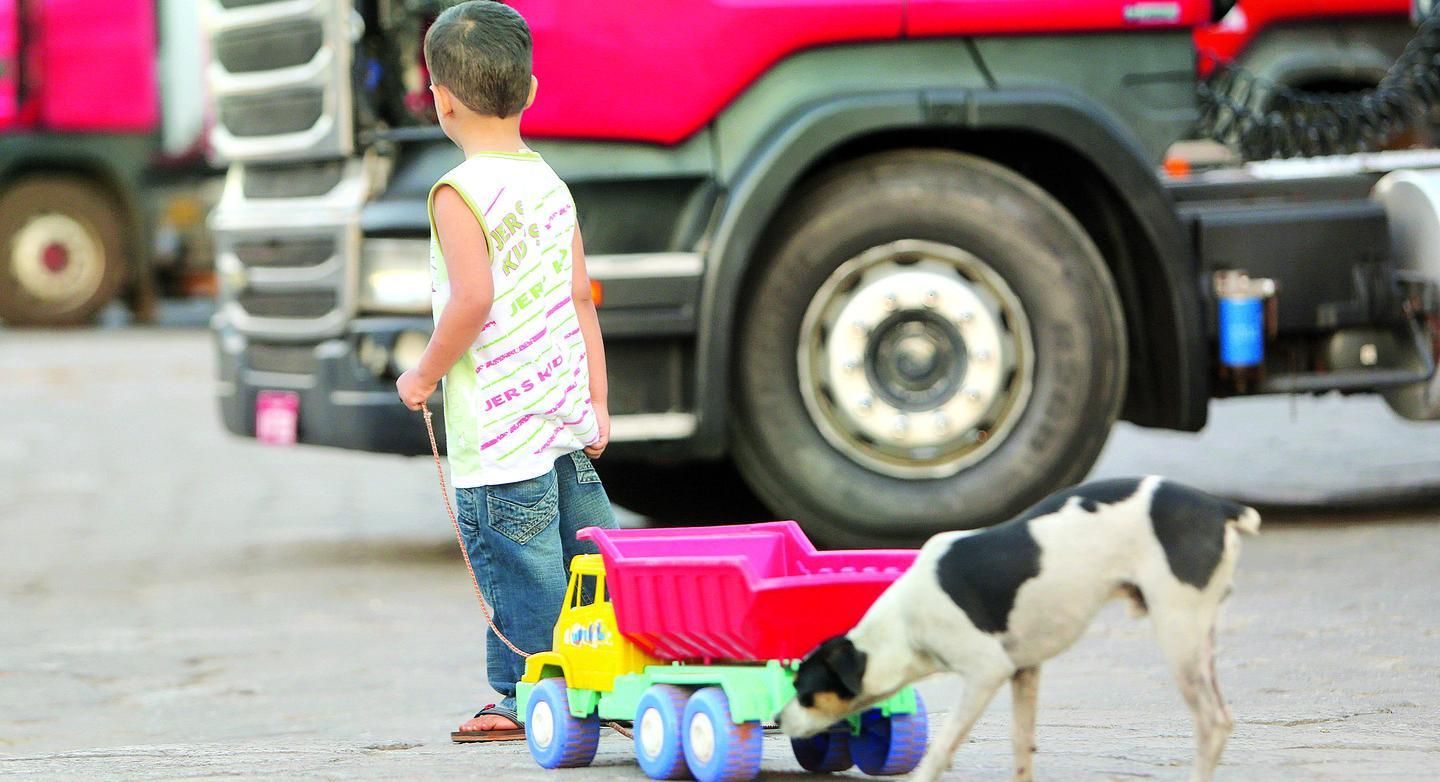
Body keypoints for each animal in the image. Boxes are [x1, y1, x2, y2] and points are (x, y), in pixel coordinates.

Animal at [777, 478, 1261, 782]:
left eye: (803, 689)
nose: (778, 720)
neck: (904, 626)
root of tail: (1220, 506)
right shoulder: (1025, 670)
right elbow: (1021, 743)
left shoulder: (986, 672)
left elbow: (943, 746)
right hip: (1201, 639)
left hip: (1179, 635)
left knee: (1212, 724)